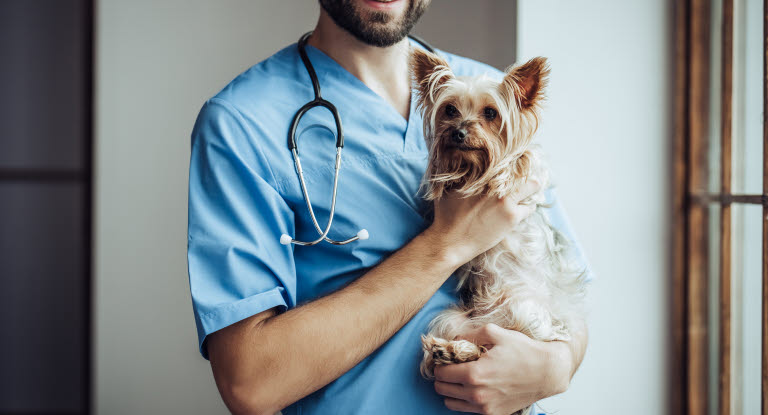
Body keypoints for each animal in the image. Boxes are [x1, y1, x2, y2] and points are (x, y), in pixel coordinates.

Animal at [412, 48, 584, 412]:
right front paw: (442, 177)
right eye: (449, 109)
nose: (458, 133)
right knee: (472, 348)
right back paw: (450, 352)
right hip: (453, 320)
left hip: (526, 312)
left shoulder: (531, 170)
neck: (471, 167)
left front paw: (501, 174)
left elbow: (522, 159)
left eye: (491, 112)